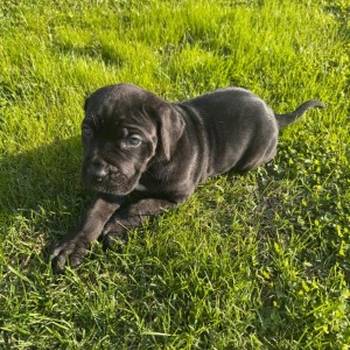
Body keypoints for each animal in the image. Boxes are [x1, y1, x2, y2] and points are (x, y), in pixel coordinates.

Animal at [50, 83, 324, 272]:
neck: (151, 166)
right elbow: (94, 212)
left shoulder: (177, 197)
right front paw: (74, 245)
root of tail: (273, 113)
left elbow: (142, 205)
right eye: (87, 130)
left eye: (133, 140)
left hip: (253, 159)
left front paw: (117, 226)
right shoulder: (114, 187)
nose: (96, 173)